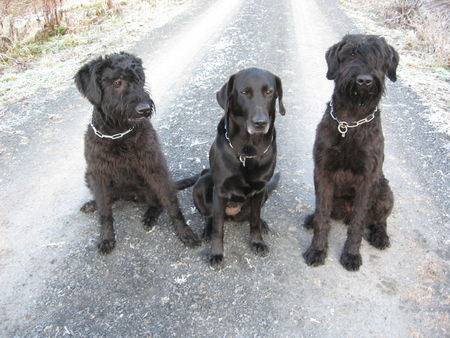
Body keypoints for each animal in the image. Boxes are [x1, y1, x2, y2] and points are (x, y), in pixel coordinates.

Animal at [74, 52, 200, 254]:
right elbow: (105, 213)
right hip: (90, 177)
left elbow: (171, 204)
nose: (145, 109)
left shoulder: (155, 169)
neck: (118, 135)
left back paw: (150, 215)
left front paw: (185, 232)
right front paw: (106, 237)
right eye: (117, 82)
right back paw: (93, 203)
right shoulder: (98, 174)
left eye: (139, 80)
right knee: (106, 199)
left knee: (158, 201)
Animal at [190, 68, 284, 268]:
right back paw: (207, 229)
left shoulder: (260, 189)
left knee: (252, 216)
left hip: (264, 192)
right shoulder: (220, 191)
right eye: (244, 92)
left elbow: (254, 220)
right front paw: (216, 253)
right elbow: (218, 228)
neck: (247, 151)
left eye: (269, 92)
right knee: (210, 216)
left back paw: (263, 223)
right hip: (202, 183)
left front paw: (257, 242)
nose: (260, 123)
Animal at [304, 35, 400, 272]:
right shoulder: (323, 171)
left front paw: (351, 255)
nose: (364, 80)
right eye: (351, 53)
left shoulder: (368, 179)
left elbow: (357, 224)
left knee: (379, 220)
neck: (351, 123)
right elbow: (322, 215)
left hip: (385, 193)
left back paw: (380, 236)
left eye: (380, 56)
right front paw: (317, 250)